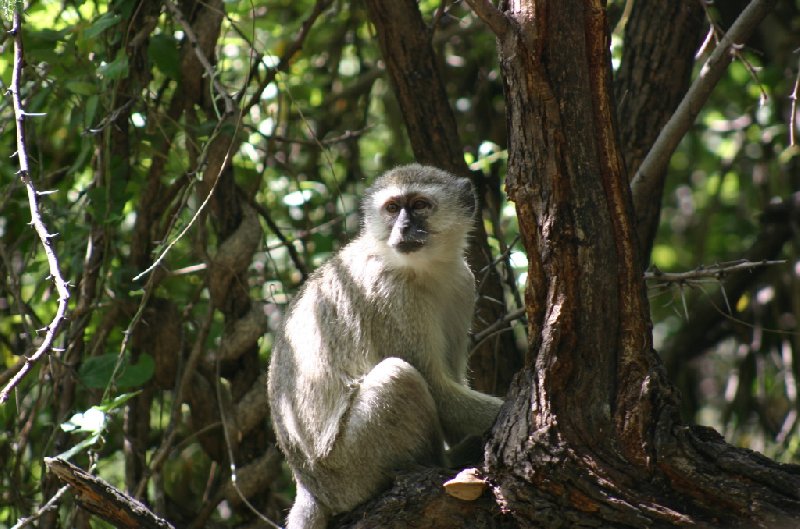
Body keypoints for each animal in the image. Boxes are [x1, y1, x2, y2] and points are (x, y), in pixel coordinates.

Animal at [268, 165, 506, 528]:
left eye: (420, 205)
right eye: (393, 209)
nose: (403, 227)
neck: (424, 268)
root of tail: (308, 485)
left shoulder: (463, 284)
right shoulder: (391, 295)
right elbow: (438, 391)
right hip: (350, 467)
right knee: (398, 377)